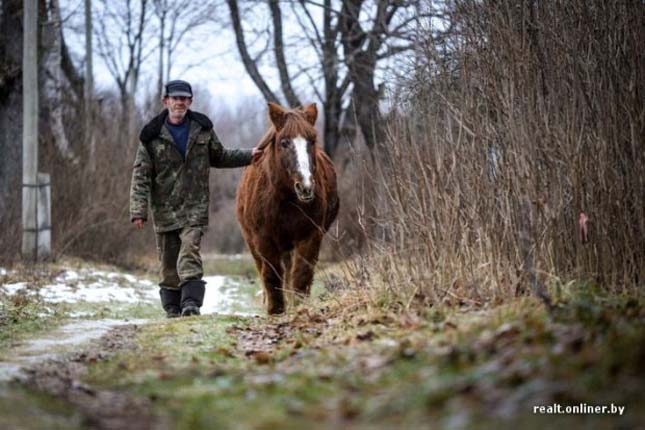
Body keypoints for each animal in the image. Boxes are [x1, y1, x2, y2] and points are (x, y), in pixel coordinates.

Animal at [235, 102, 338, 314]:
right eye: (284, 142)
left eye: (312, 141)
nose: (305, 186)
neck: (286, 199)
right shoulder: (263, 238)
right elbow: (271, 274)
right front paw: (275, 310)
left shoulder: (310, 236)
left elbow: (301, 274)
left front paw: (298, 307)